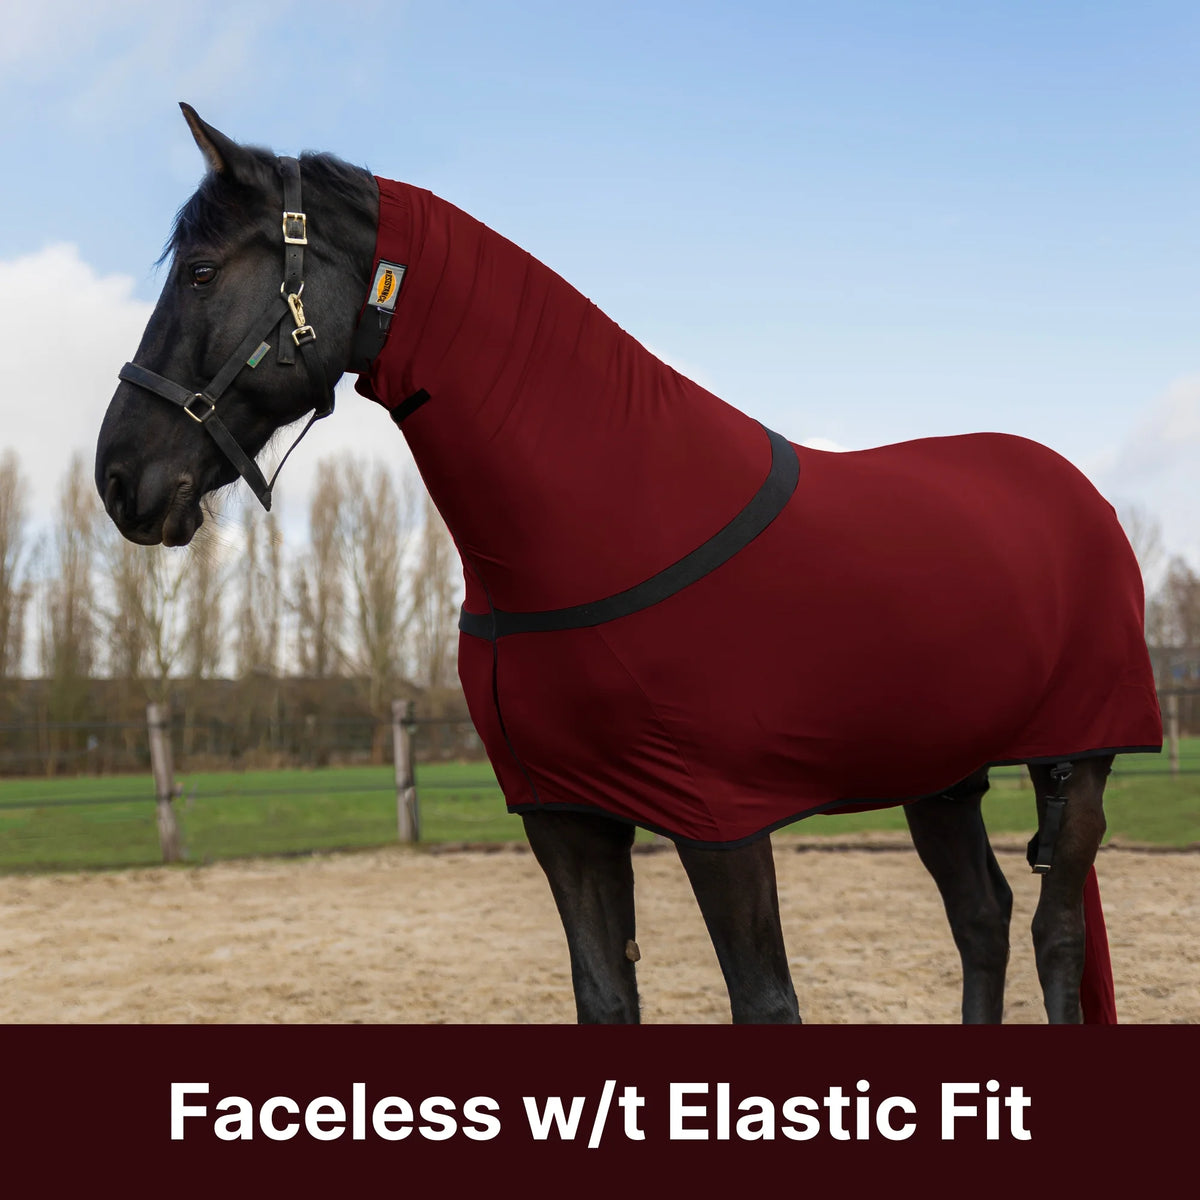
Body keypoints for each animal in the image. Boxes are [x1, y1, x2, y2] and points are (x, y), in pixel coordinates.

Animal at [95, 105, 1162, 1024]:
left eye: (200, 272)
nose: (119, 480)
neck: (601, 516)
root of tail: (1077, 494)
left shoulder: (722, 824)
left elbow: (766, 1003)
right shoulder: (566, 822)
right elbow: (606, 1000)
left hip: (1080, 761)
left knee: (1054, 935)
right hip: (939, 773)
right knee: (981, 920)